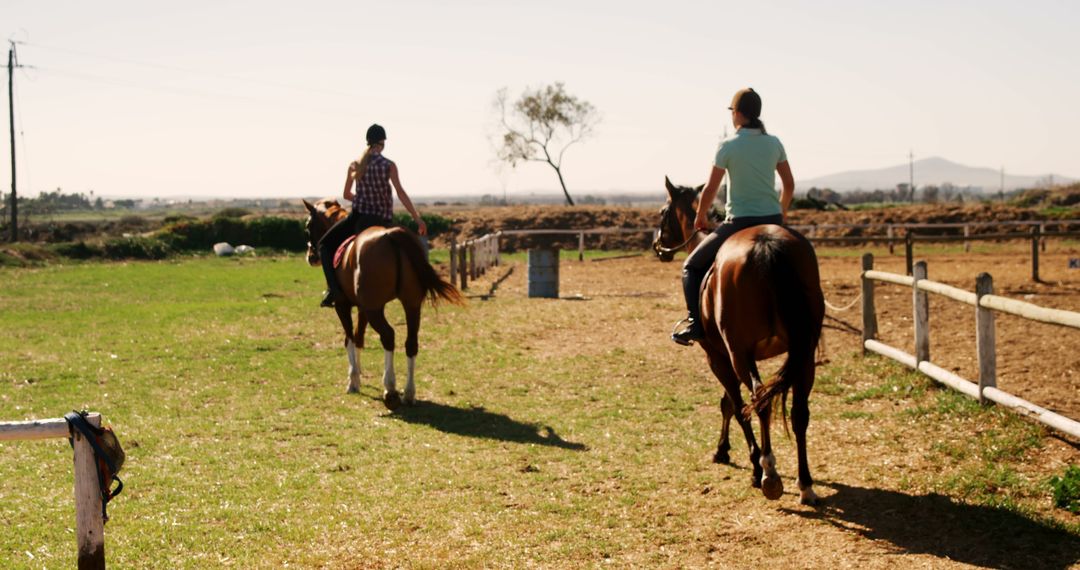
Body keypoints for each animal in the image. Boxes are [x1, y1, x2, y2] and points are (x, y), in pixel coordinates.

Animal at [302, 199, 462, 410]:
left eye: (308, 226)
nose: (311, 256)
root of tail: (391, 234)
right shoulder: (363, 308)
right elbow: (358, 338)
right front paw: (358, 376)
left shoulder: (343, 305)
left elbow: (349, 338)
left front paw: (353, 381)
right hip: (411, 306)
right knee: (411, 342)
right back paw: (409, 393)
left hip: (375, 310)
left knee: (388, 336)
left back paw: (390, 389)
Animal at [652, 178, 820, 503]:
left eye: (663, 212)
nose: (659, 249)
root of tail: (766, 243)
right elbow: (731, 404)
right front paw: (725, 450)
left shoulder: (717, 356)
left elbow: (734, 405)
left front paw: (748, 463)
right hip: (804, 354)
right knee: (799, 412)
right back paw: (805, 484)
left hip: (740, 355)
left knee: (759, 400)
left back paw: (769, 474)